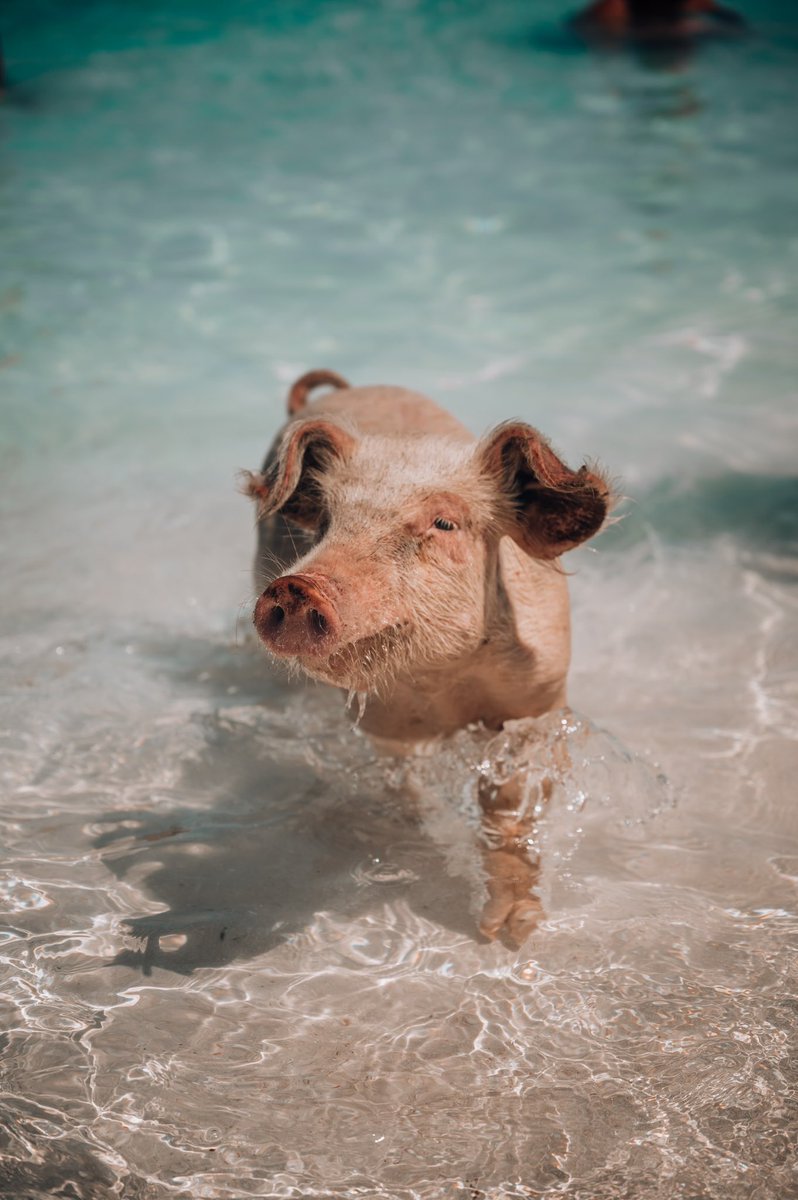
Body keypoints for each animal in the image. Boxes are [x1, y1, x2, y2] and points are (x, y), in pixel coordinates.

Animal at [244, 370, 611, 942]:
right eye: (327, 522)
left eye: (444, 523)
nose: (297, 586)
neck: (449, 681)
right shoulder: (385, 725)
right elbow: (406, 793)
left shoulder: (539, 701)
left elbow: (512, 810)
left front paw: (511, 932)